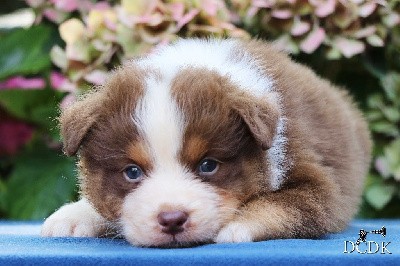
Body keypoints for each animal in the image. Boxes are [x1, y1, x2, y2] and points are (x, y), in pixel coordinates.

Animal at [41, 39, 372, 247]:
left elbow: (280, 205)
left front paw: (236, 226)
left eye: (208, 165)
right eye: (132, 172)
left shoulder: (320, 185)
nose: (172, 219)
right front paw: (73, 215)